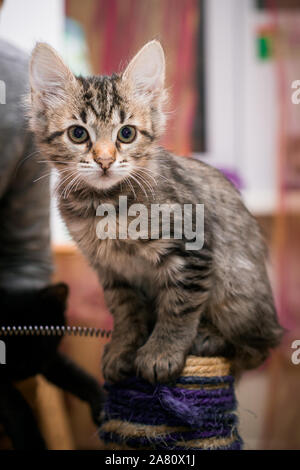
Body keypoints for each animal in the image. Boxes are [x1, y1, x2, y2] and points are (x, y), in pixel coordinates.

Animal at [28, 41, 284, 382]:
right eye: (78, 134)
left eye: (126, 134)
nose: (105, 160)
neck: (105, 205)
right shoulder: (111, 271)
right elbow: (125, 313)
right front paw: (123, 348)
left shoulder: (192, 250)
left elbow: (179, 308)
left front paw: (161, 353)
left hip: (237, 290)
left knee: (257, 348)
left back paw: (209, 337)